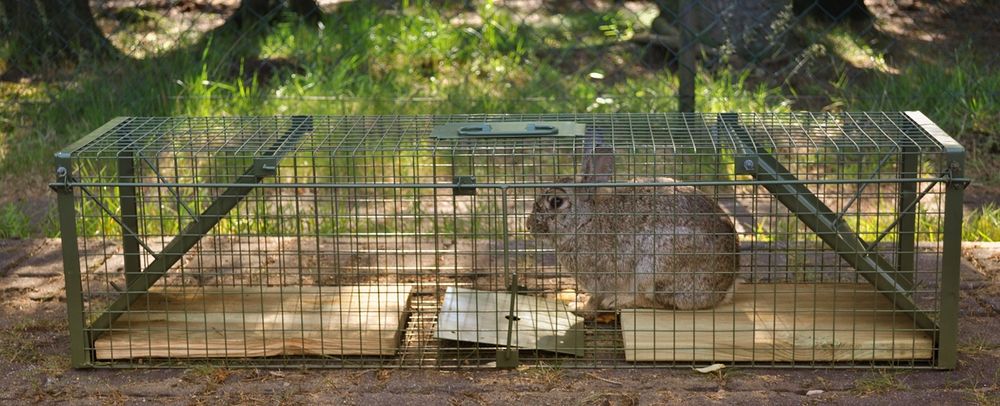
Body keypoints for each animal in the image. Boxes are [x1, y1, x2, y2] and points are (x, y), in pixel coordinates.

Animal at [528, 144, 740, 318]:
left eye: (556, 201)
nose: (529, 226)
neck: (585, 220)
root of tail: (724, 288)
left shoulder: (600, 279)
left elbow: (594, 301)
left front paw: (579, 308)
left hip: (656, 267)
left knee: (661, 302)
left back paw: (619, 301)